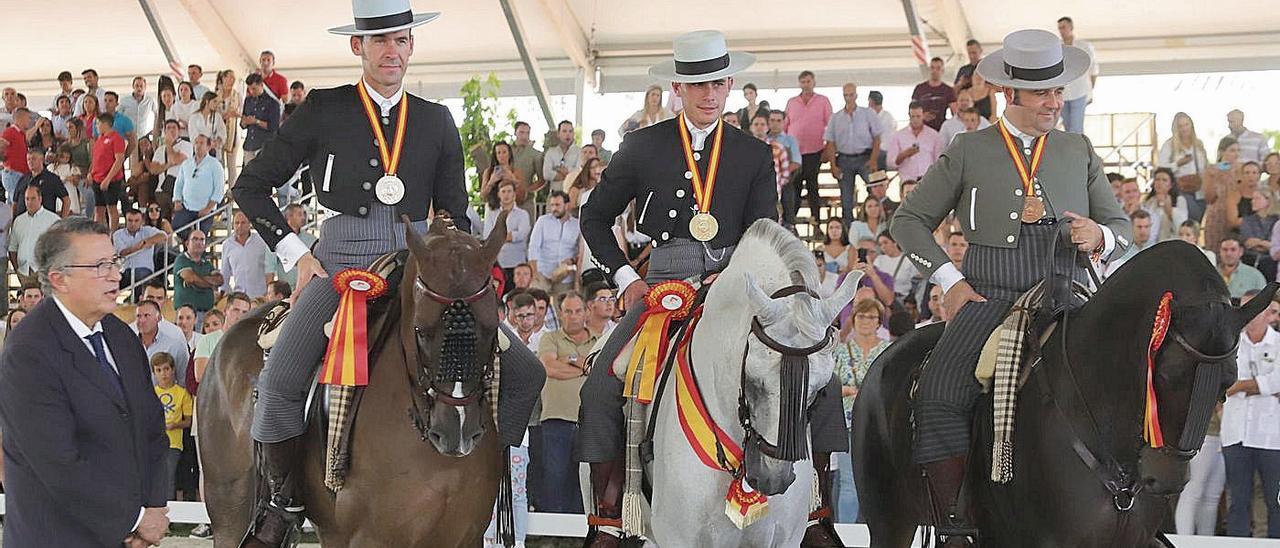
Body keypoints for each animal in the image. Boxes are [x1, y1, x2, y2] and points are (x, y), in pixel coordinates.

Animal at [197, 215, 506, 548]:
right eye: (422, 331)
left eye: (491, 328)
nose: (456, 433)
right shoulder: (369, 537)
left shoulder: (465, 536)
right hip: (231, 512)